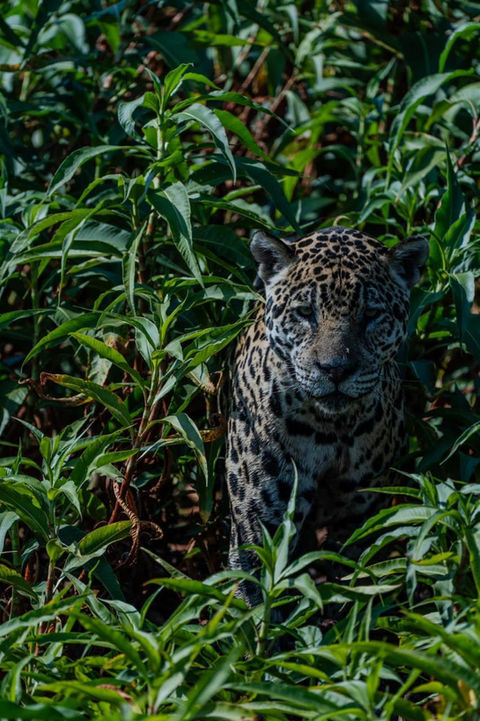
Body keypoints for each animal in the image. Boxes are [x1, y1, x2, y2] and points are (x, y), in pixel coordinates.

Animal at [226, 226, 428, 605]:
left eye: (370, 315)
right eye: (305, 312)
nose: (335, 369)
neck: (333, 428)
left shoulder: (359, 514)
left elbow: (354, 579)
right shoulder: (258, 523)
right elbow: (253, 598)